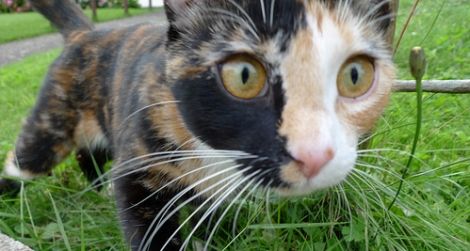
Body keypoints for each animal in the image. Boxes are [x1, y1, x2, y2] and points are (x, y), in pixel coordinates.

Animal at [0, 0, 396, 250]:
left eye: (355, 75)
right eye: (244, 75)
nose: (314, 154)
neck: (214, 153)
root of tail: (86, 34)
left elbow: (207, 212)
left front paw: (207, 238)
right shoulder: (139, 164)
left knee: (88, 154)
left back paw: (99, 190)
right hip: (52, 121)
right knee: (25, 158)